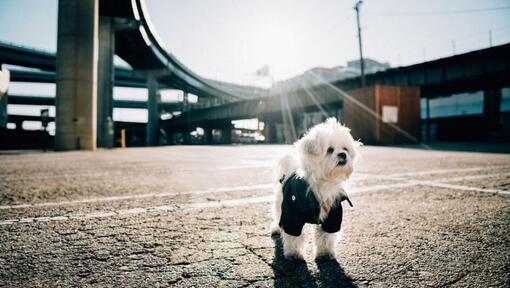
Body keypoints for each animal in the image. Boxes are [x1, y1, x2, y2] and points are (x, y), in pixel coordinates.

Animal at [268, 117, 360, 260]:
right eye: (330, 150)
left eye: (345, 149)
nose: (343, 154)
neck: (323, 181)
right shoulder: (292, 214)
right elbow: (293, 235)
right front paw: (294, 254)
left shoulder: (333, 216)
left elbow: (326, 235)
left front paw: (325, 253)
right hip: (281, 202)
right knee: (277, 215)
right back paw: (276, 228)